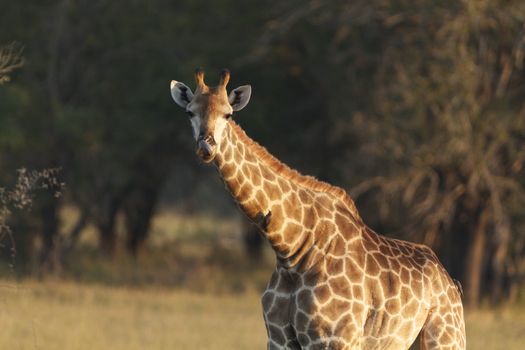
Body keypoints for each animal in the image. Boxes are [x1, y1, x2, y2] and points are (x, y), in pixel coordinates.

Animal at [170, 69, 464, 350]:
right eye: (189, 112)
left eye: (228, 114)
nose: (206, 146)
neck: (292, 250)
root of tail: (451, 283)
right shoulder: (278, 339)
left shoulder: (336, 339)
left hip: (445, 338)